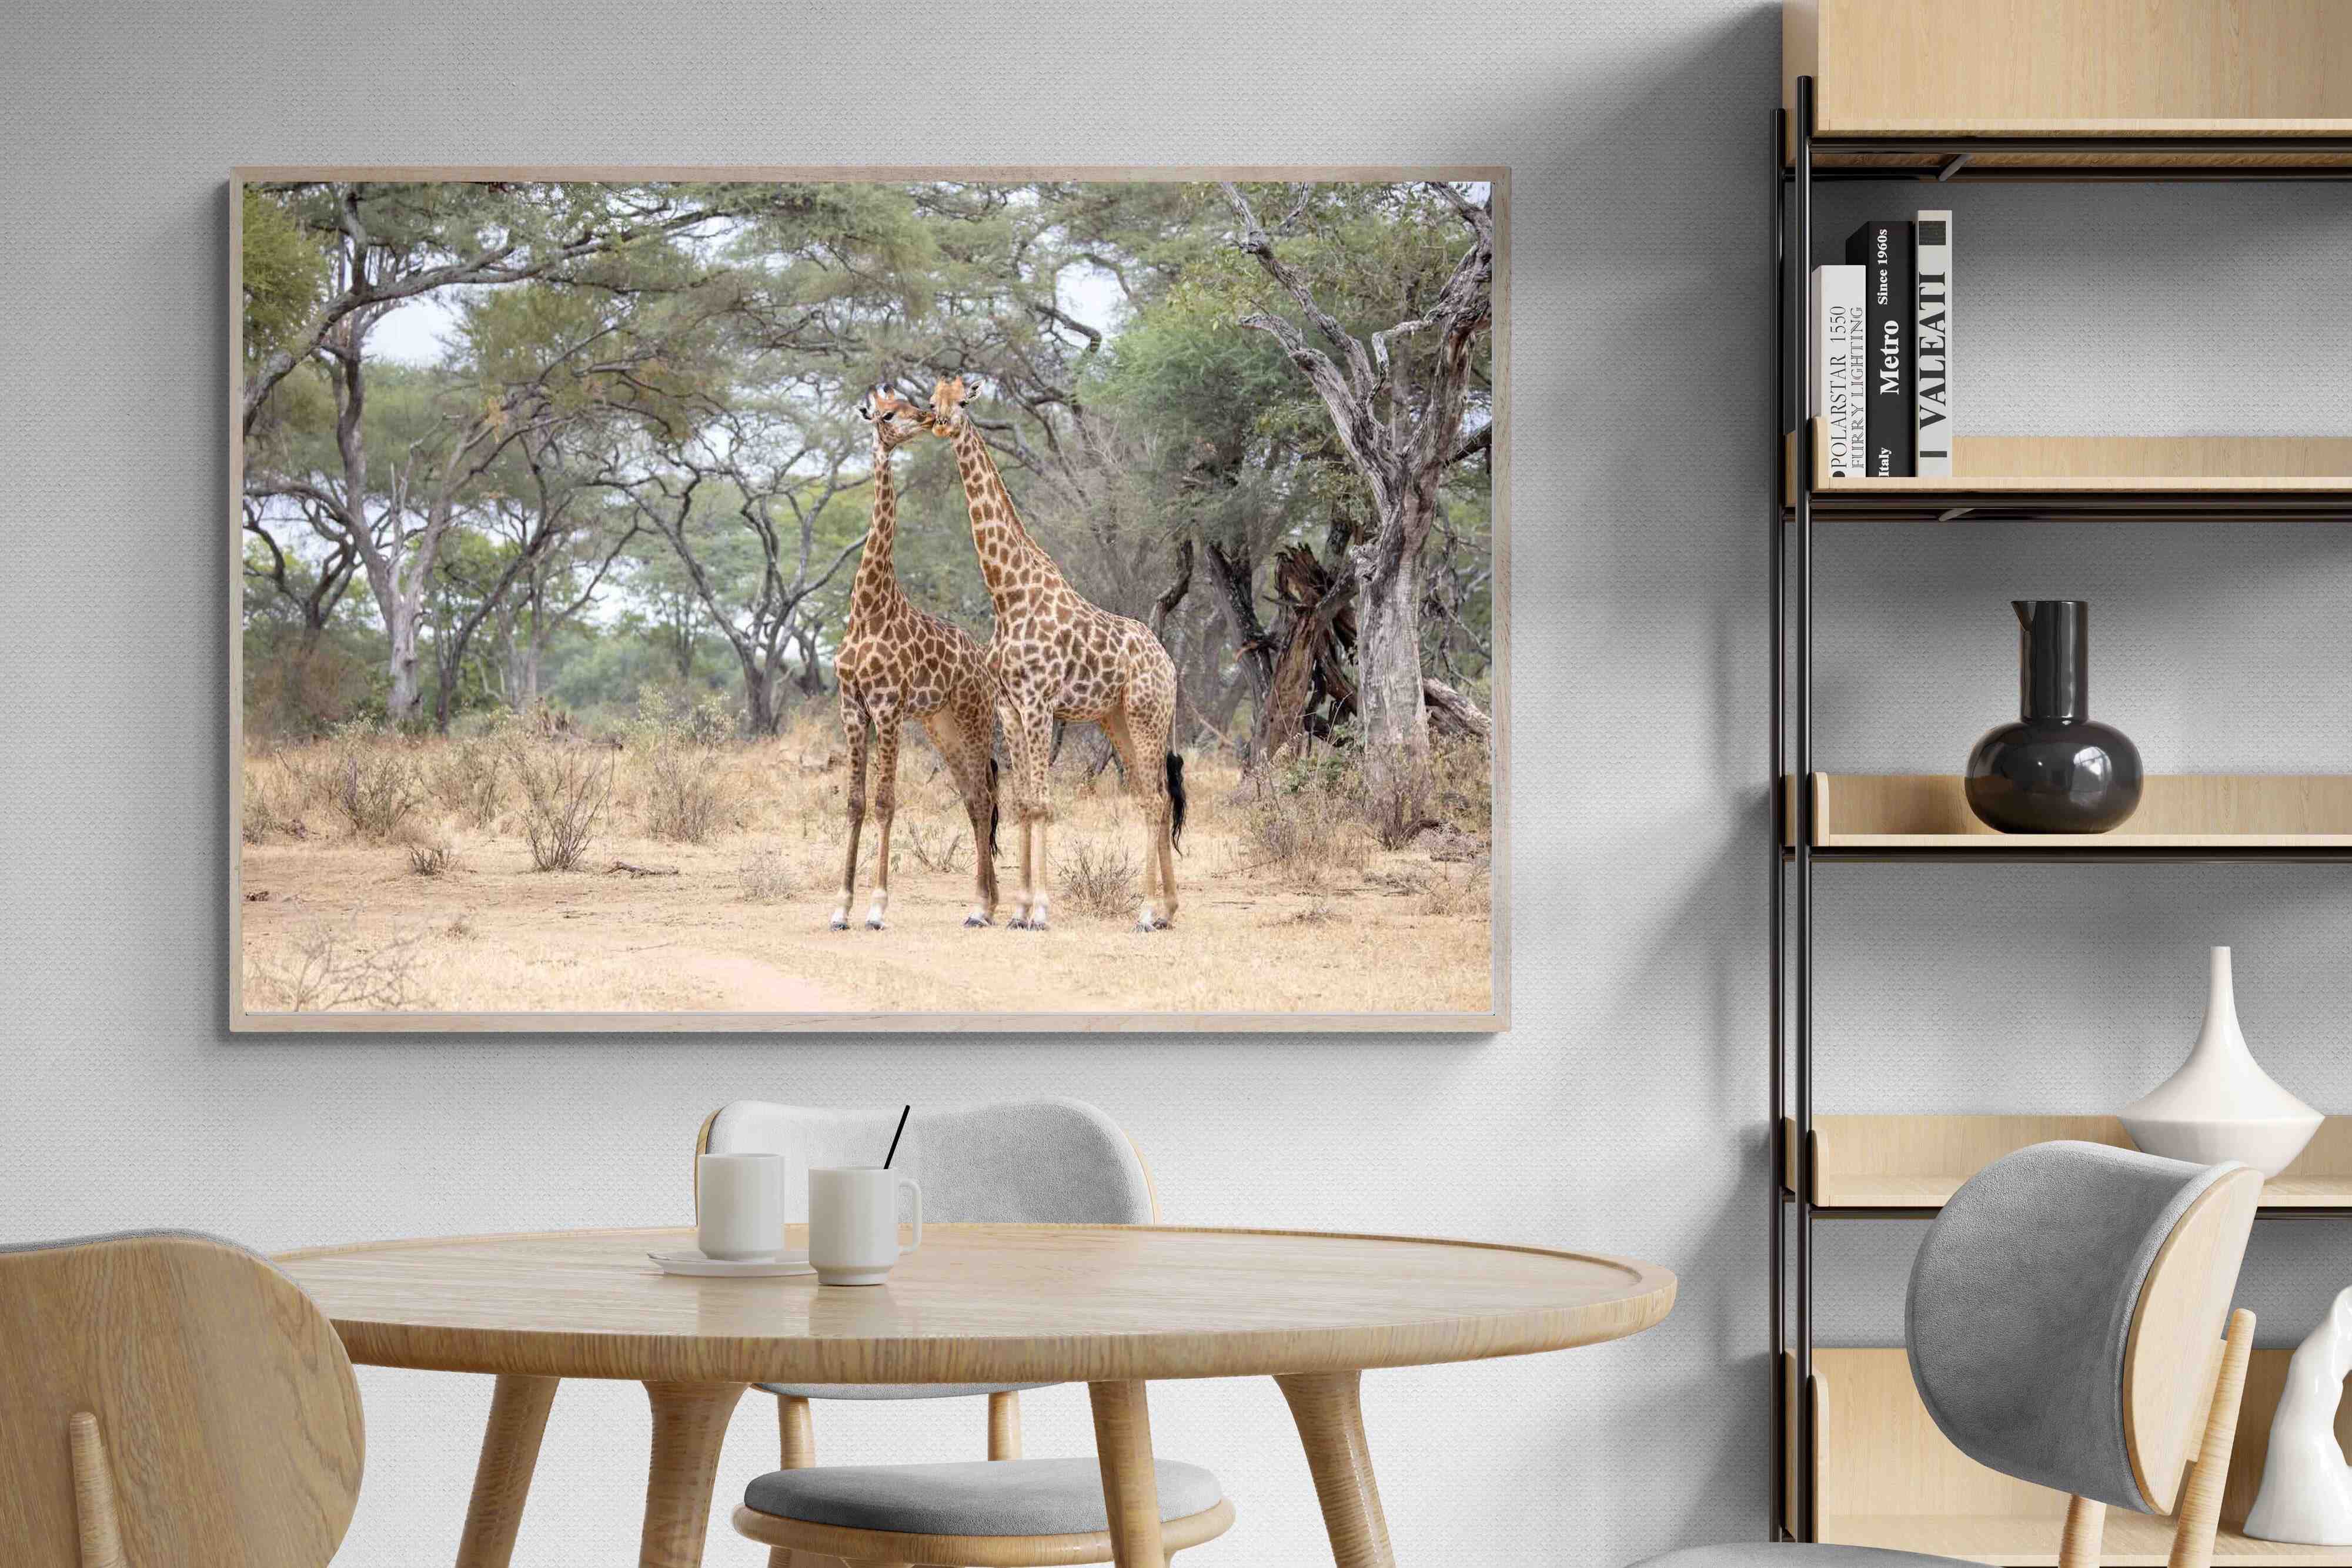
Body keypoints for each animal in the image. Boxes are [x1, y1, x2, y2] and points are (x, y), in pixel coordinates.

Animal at [831, 387, 1000, 931]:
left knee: (985, 797)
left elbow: (886, 802)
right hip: (940, 725)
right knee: (973, 799)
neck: (868, 607)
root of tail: (983, 662)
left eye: (908, 403)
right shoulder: (853, 707)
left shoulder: (887, 707)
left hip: (974, 718)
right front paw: (840, 907)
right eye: (887, 413)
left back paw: (980, 906)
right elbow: (856, 803)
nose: (927, 418)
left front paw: (877, 907)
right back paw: (989, 902)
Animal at [926, 374, 1186, 932]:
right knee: (1149, 796)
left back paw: (1146, 912)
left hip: (1147, 714)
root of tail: (1170, 664)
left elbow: (1044, 803)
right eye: (932, 399)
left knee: (1156, 799)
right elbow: (1025, 801)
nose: (940, 421)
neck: (1007, 593)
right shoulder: (1010, 707)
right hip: (1119, 719)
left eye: (964, 400)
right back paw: (1167, 910)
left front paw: (1040, 910)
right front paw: (1019, 910)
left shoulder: (1039, 703)